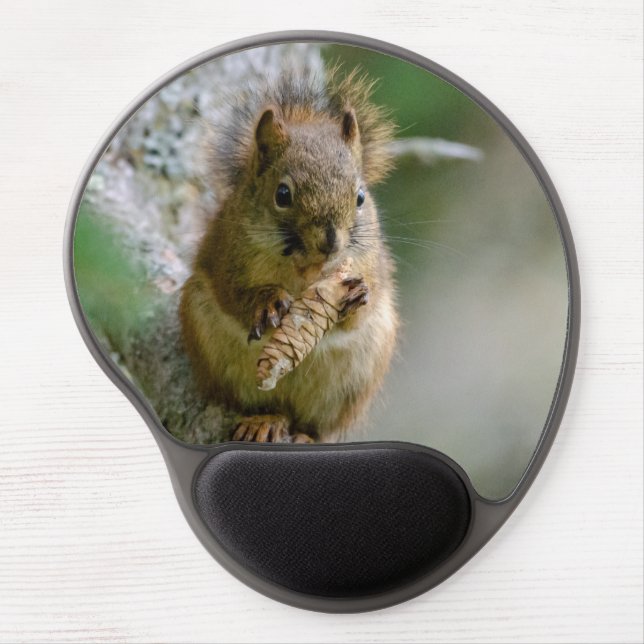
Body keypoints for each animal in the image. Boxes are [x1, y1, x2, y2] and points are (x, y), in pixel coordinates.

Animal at [179, 65, 399, 443]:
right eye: (282, 194)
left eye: (360, 197)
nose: (331, 242)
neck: (306, 269)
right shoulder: (227, 257)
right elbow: (233, 294)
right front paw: (266, 302)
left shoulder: (368, 264)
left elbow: (358, 314)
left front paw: (358, 294)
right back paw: (263, 420)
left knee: (315, 425)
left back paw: (305, 435)